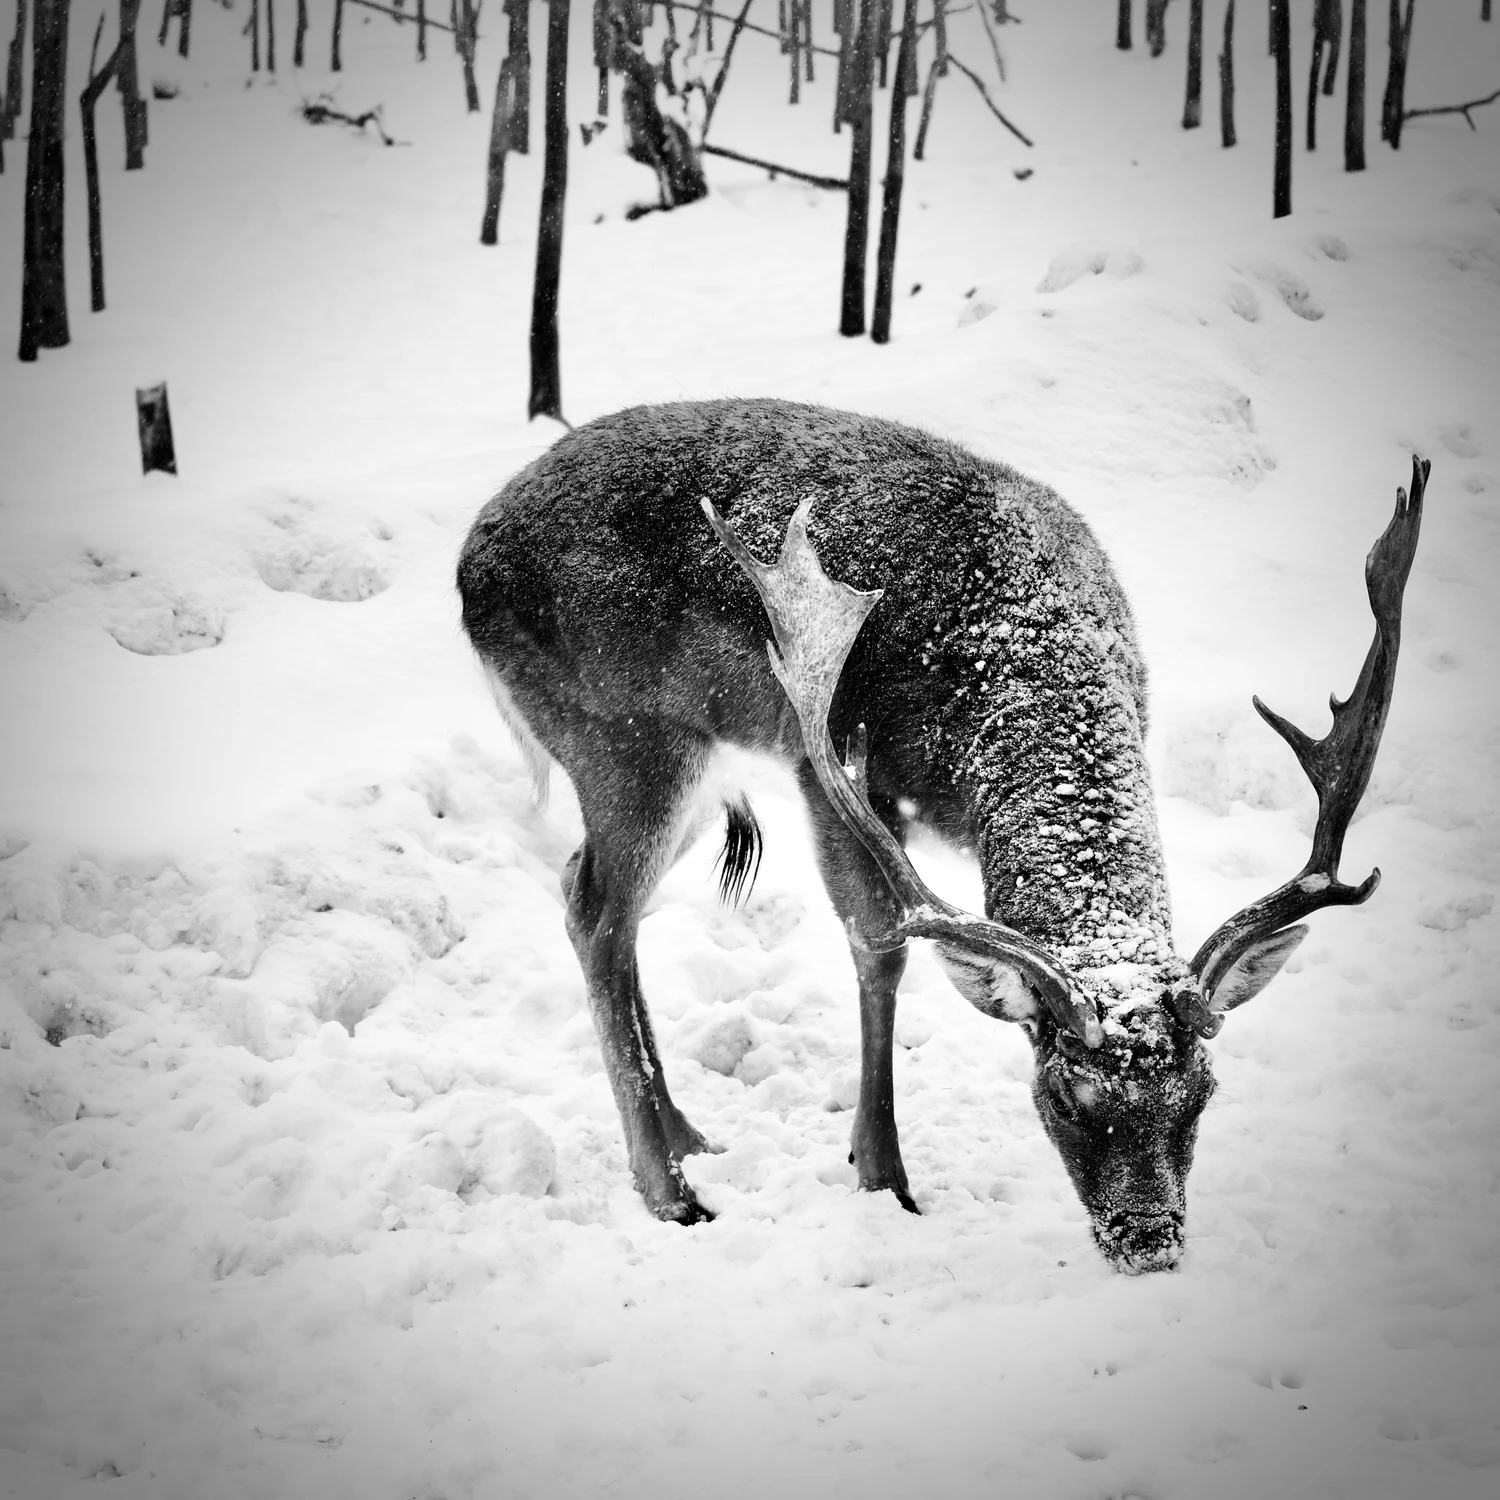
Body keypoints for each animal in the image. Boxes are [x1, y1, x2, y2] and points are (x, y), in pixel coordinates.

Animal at [450, 396, 1422, 1266]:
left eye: (1204, 1094)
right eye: (1064, 1098)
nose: (1148, 1243)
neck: (1020, 652)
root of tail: (469, 563)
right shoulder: (835, 762)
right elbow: (880, 940)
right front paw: (883, 1177)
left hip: (681, 763)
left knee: (589, 892)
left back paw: (686, 1133)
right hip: (622, 734)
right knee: (596, 913)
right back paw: (669, 1193)